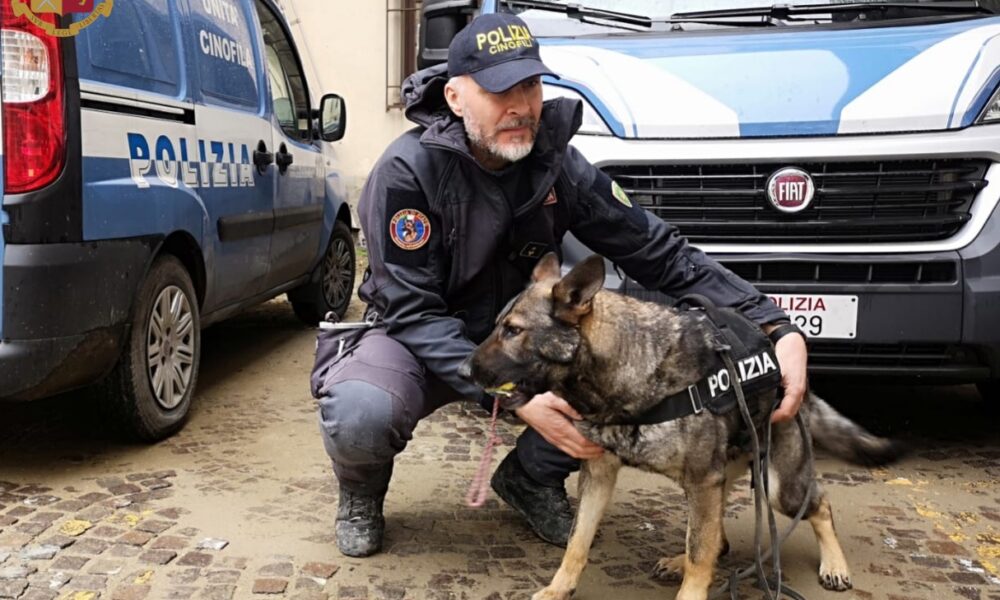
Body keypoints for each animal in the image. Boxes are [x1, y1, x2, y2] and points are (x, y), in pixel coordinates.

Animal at [464, 254, 904, 600]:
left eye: (514, 331)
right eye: (499, 325)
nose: (464, 369)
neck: (627, 367)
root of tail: (792, 368)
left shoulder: (701, 480)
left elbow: (699, 554)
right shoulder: (600, 475)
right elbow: (578, 542)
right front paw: (559, 589)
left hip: (775, 487)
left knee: (818, 504)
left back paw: (834, 565)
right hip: (716, 482)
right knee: (717, 539)